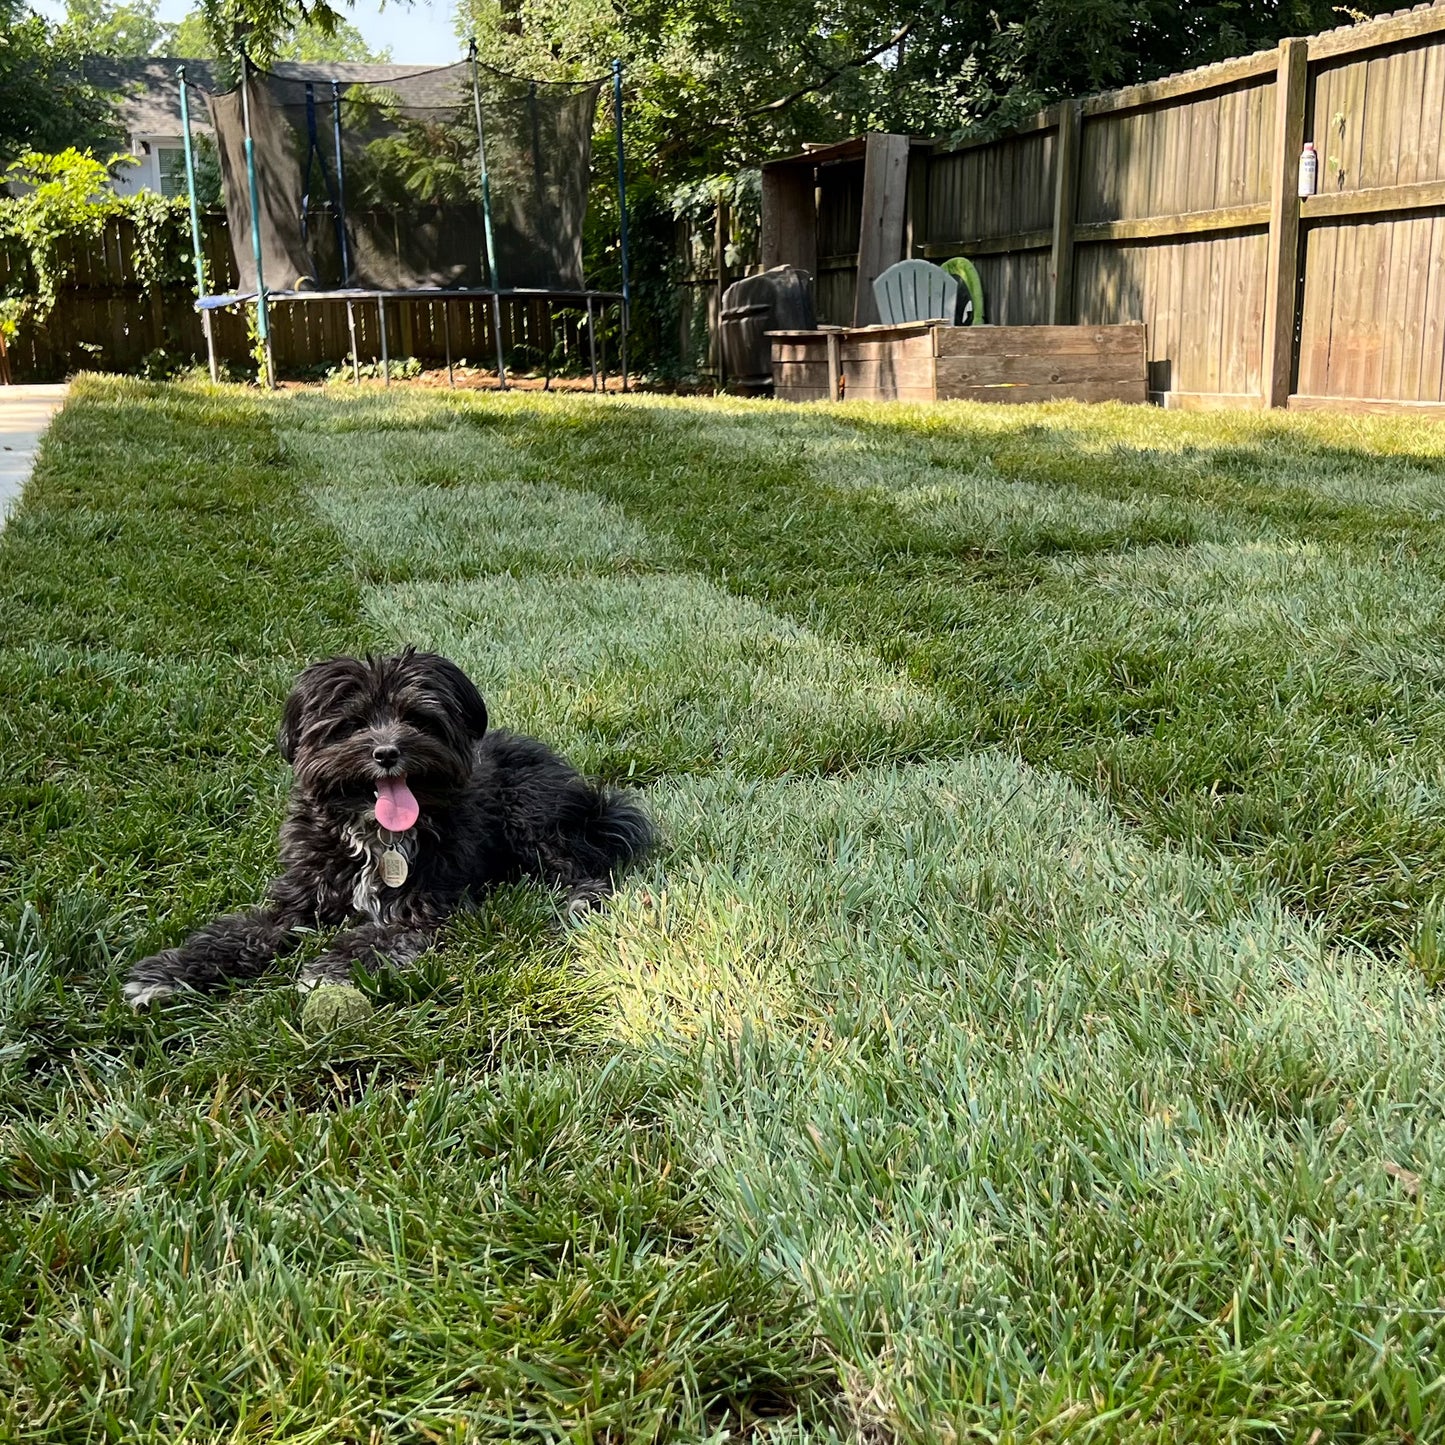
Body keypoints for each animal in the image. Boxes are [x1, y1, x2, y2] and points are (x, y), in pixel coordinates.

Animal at [124, 650, 656, 1011]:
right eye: (352, 724)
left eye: (416, 719)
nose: (386, 752)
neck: (373, 837)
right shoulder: (297, 901)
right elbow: (239, 931)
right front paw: (170, 972)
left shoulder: (425, 910)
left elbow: (374, 937)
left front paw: (332, 971)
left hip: (528, 810)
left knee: (584, 865)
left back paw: (577, 901)